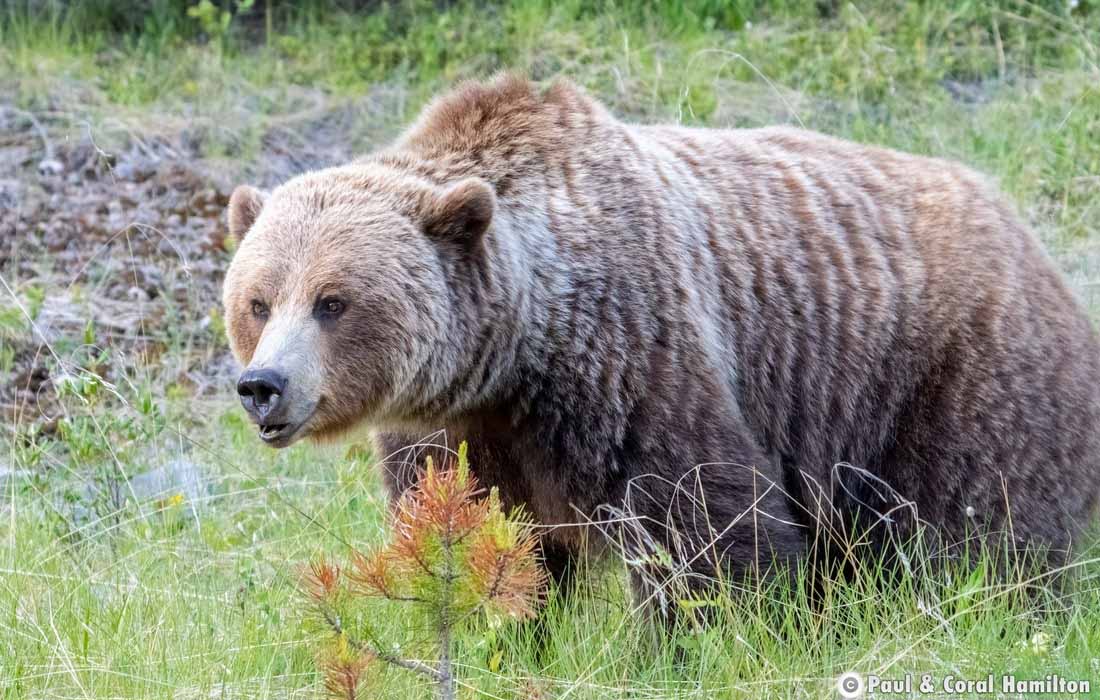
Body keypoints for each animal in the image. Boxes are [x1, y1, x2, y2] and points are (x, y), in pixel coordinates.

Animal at [221, 73, 1100, 611]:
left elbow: (703, 528)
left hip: (950, 379)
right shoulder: (449, 429)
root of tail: (1029, 241)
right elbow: (474, 537)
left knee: (979, 532)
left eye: (333, 301)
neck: (517, 353)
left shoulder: (636, 363)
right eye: (258, 301)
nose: (263, 385)